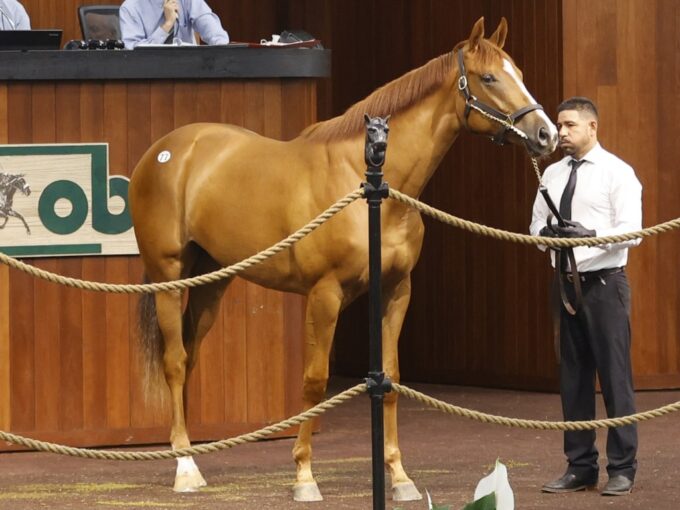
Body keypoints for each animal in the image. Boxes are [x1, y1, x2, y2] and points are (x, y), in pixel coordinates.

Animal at [129, 16, 556, 502]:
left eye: (518, 73)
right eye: (489, 78)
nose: (546, 134)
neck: (366, 184)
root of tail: (166, 150)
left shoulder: (396, 291)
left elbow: (391, 378)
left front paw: (400, 477)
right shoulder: (325, 295)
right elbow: (315, 380)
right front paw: (304, 475)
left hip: (212, 281)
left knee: (189, 356)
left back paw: (194, 457)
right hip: (168, 277)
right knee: (175, 361)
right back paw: (184, 466)